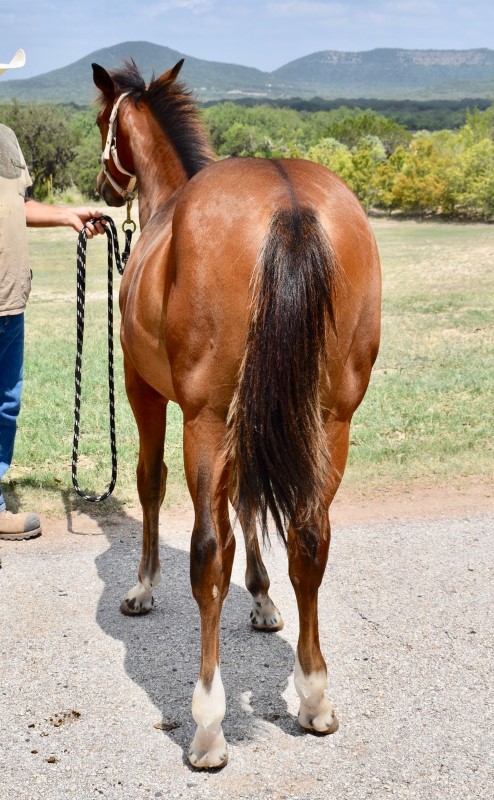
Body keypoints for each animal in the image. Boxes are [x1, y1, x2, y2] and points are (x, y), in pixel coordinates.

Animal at [90, 59, 380, 772]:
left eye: (102, 120)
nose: (103, 188)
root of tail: (290, 206)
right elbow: (251, 504)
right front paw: (264, 597)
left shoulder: (145, 391)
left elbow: (151, 485)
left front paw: (143, 587)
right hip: (330, 419)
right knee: (310, 536)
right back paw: (314, 696)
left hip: (207, 417)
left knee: (207, 552)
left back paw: (208, 727)